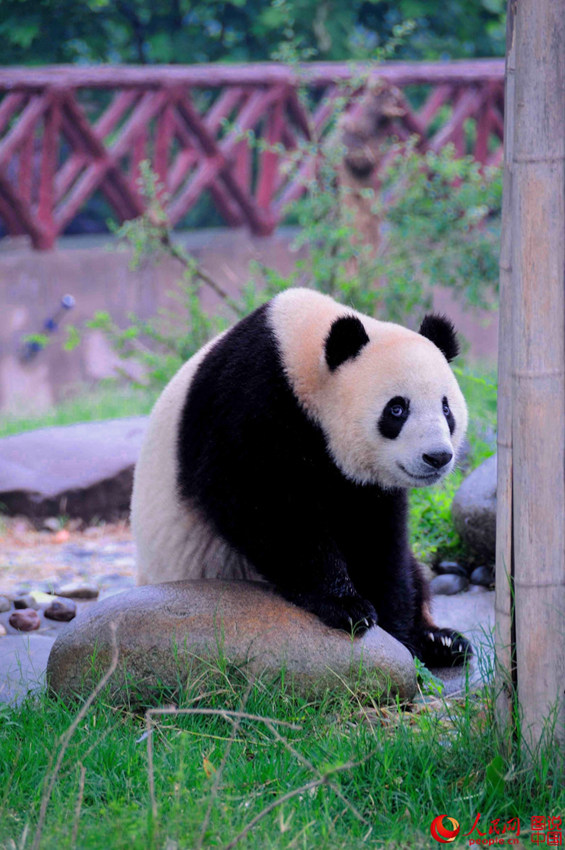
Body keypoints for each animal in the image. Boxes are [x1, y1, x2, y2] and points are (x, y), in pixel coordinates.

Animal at [132, 288, 472, 664]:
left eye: (446, 408)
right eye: (397, 409)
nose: (437, 457)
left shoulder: (365, 483)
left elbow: (376, 535)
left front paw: (399, 632)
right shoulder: (248, 403)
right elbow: (265, 507)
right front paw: (347, 606)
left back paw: (443, 641)